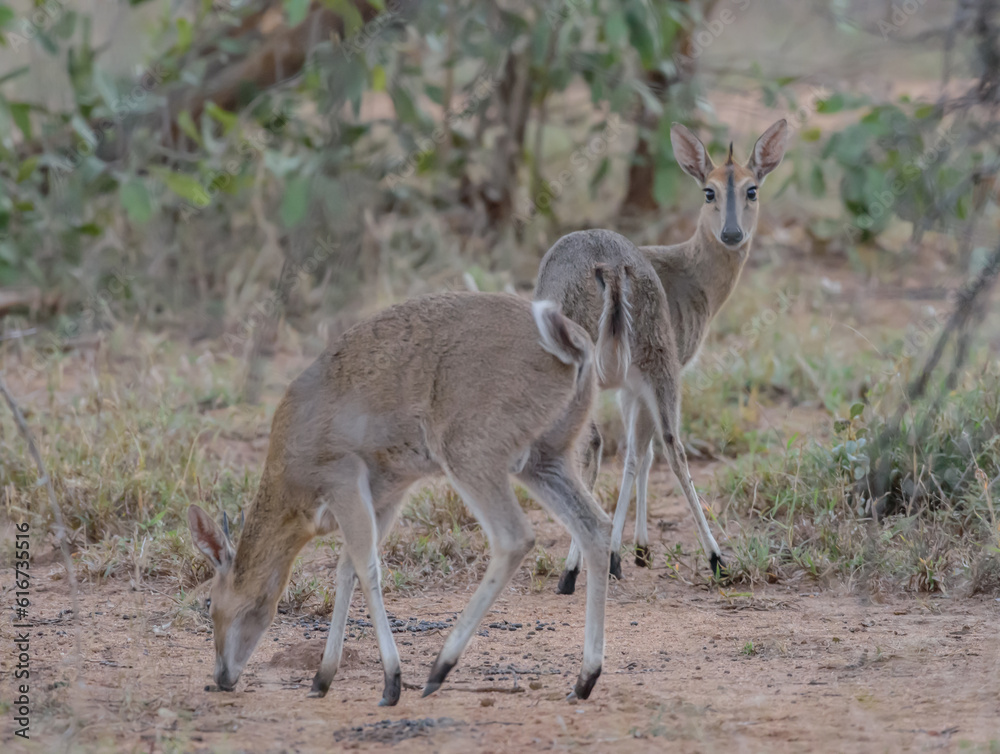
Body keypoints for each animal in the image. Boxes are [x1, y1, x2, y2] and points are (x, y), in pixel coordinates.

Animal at [187, 292, 612, 705]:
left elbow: (365, 566)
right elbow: (346, 568)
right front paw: (322, 678)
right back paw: (584, 679)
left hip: (472, 456)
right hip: (544, 460)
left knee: (514, 537)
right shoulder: (387, 493)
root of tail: (572, 343)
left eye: (209, 602)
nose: (221, 677)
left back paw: (439, 669)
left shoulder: (344, 482)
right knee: (595, 527)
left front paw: (391, 681)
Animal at [534, 120, 789, 592]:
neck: (691, 273)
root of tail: (610, 266)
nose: (732, 234)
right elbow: (639, 455)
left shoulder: (634, 386)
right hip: (648, 370)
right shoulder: (643, 383)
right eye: (708, 191)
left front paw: (630, 551)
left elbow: (638, 455)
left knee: (610, 444)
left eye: (752, 189)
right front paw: (629, 551)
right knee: (653, 445)